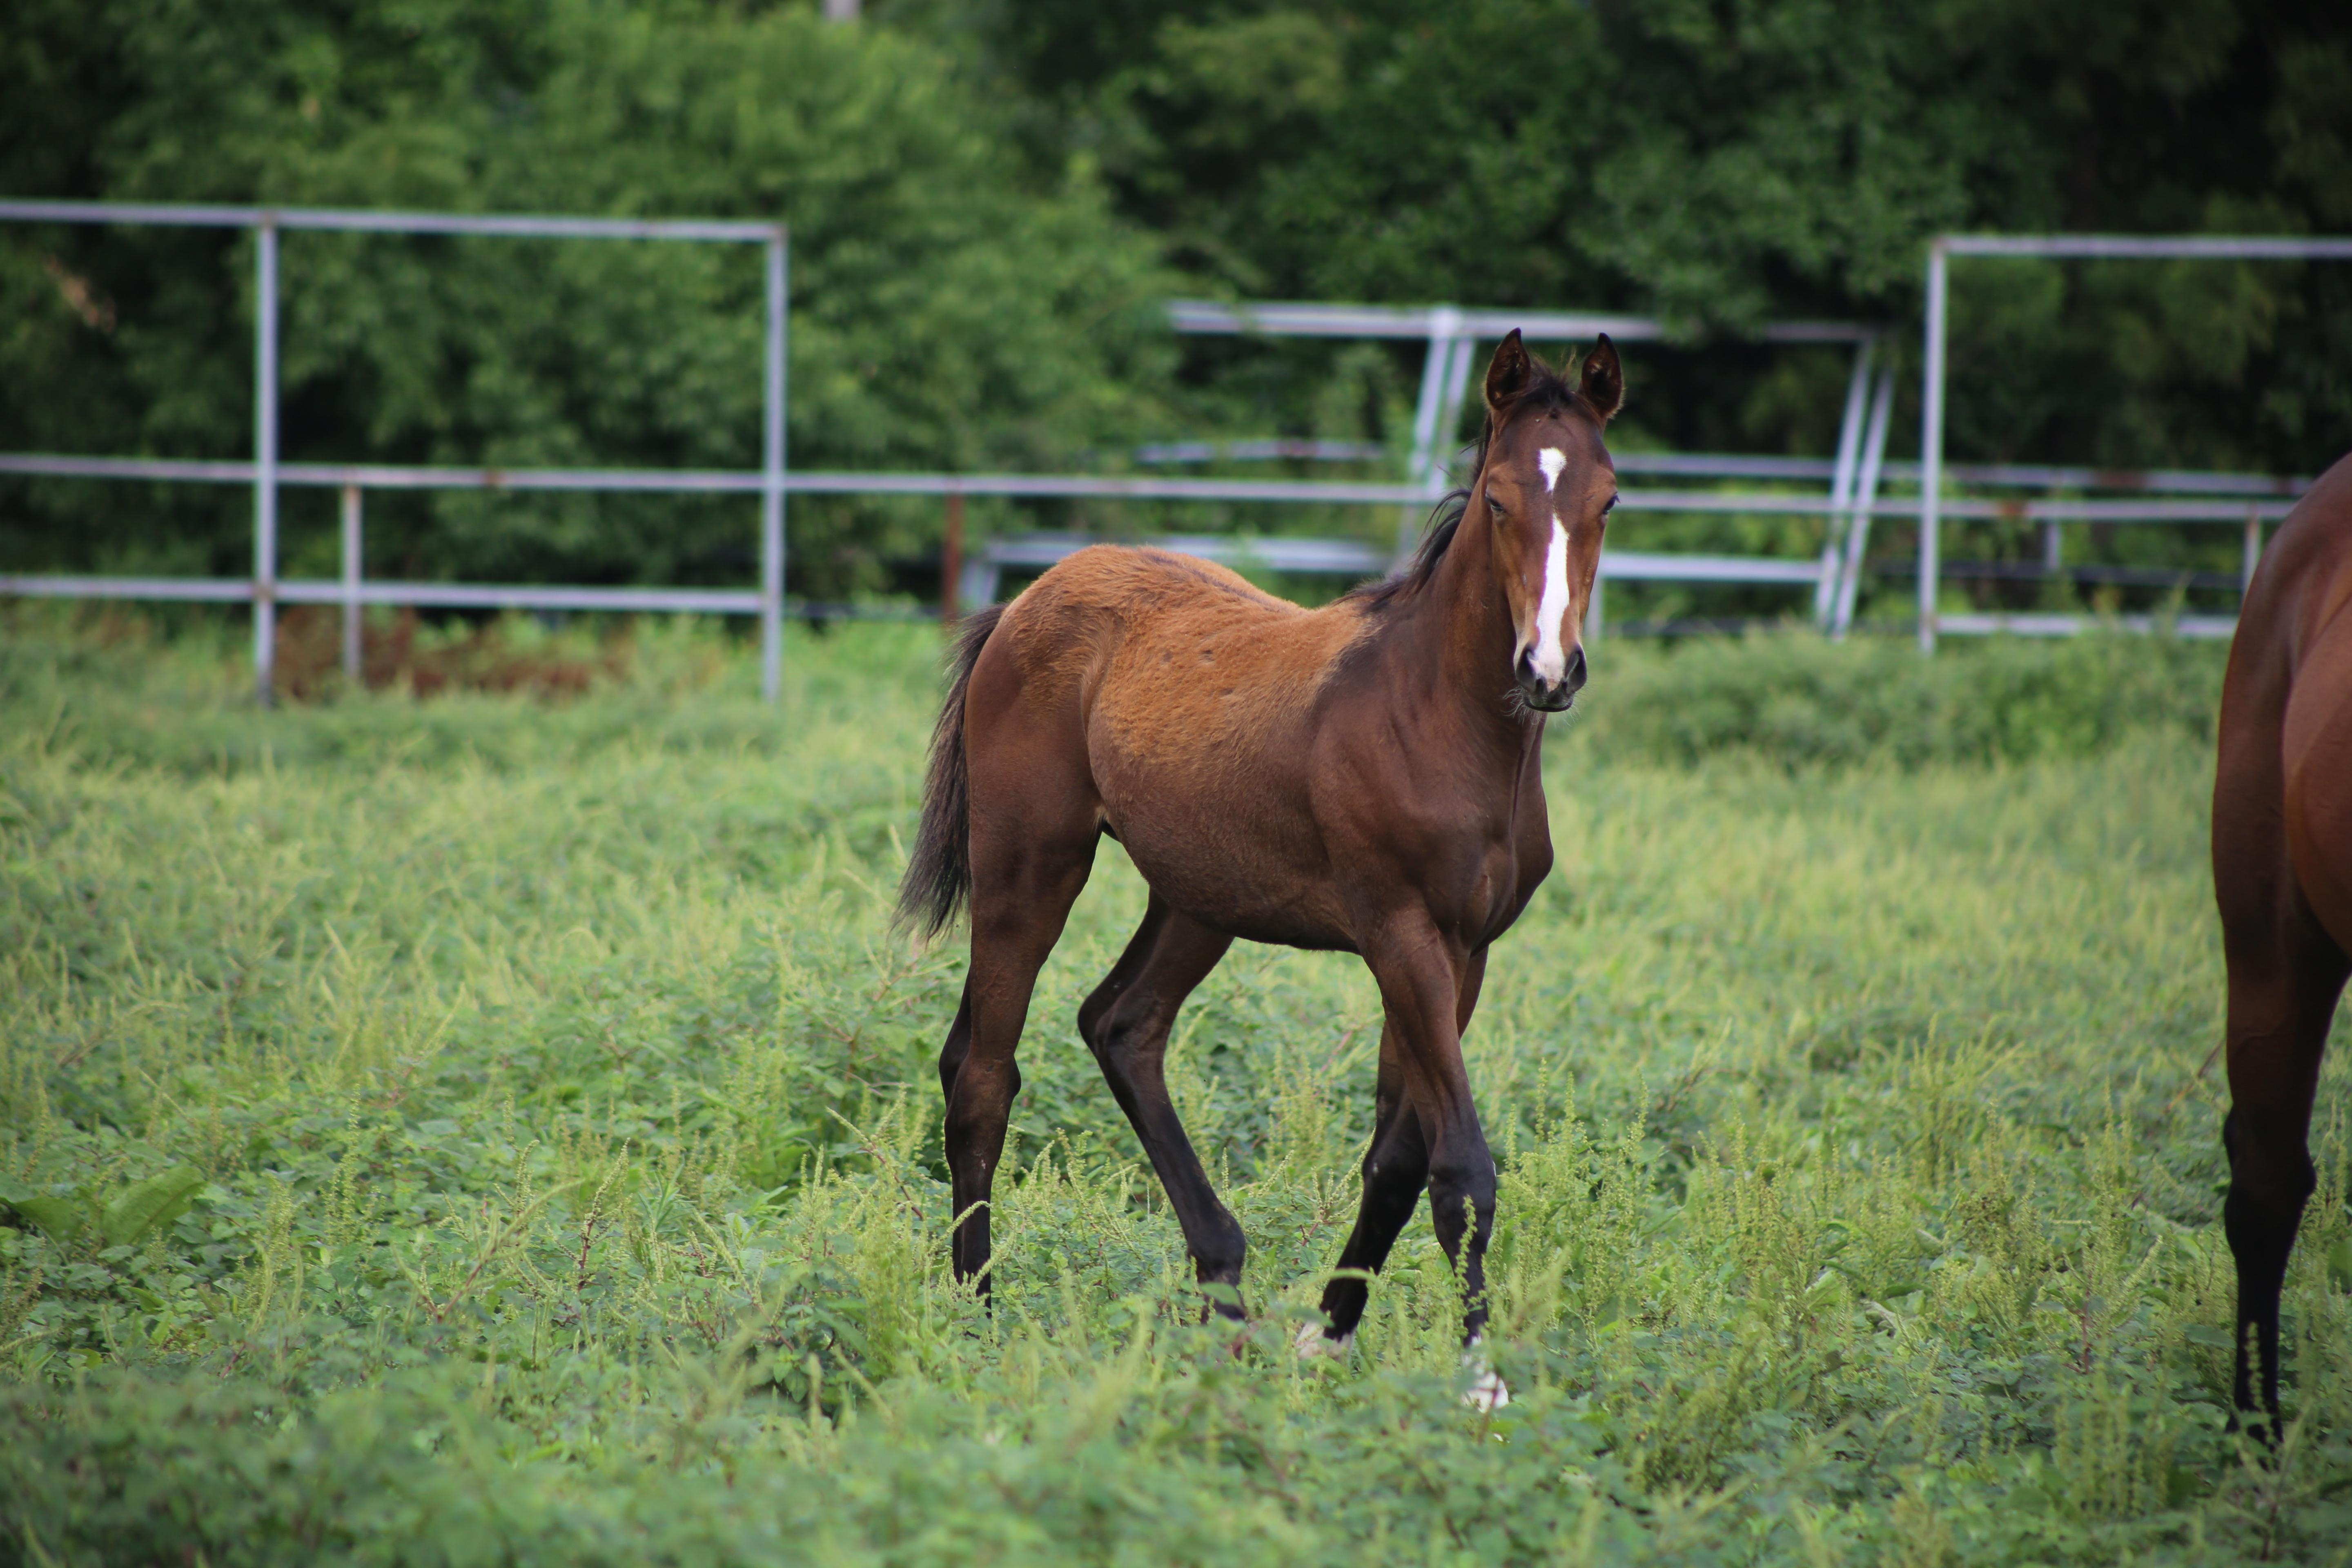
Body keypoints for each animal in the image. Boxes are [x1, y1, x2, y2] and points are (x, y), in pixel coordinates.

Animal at [893, 331, 1618, 1382]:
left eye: (1606, 500)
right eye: (1495, 498)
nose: (1548, 672)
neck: (1439, 721)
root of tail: (1031, 596)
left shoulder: (1465, 950)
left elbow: (1399, 1156)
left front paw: (1329, 1334)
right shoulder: (1400, 935)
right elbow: (1462, 1166)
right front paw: (1480, 1378)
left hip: (1199, 897)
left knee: (1122, 1026)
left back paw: (1225, 1286)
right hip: (1031, 865)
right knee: (982, 1071)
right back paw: (979, 1315)